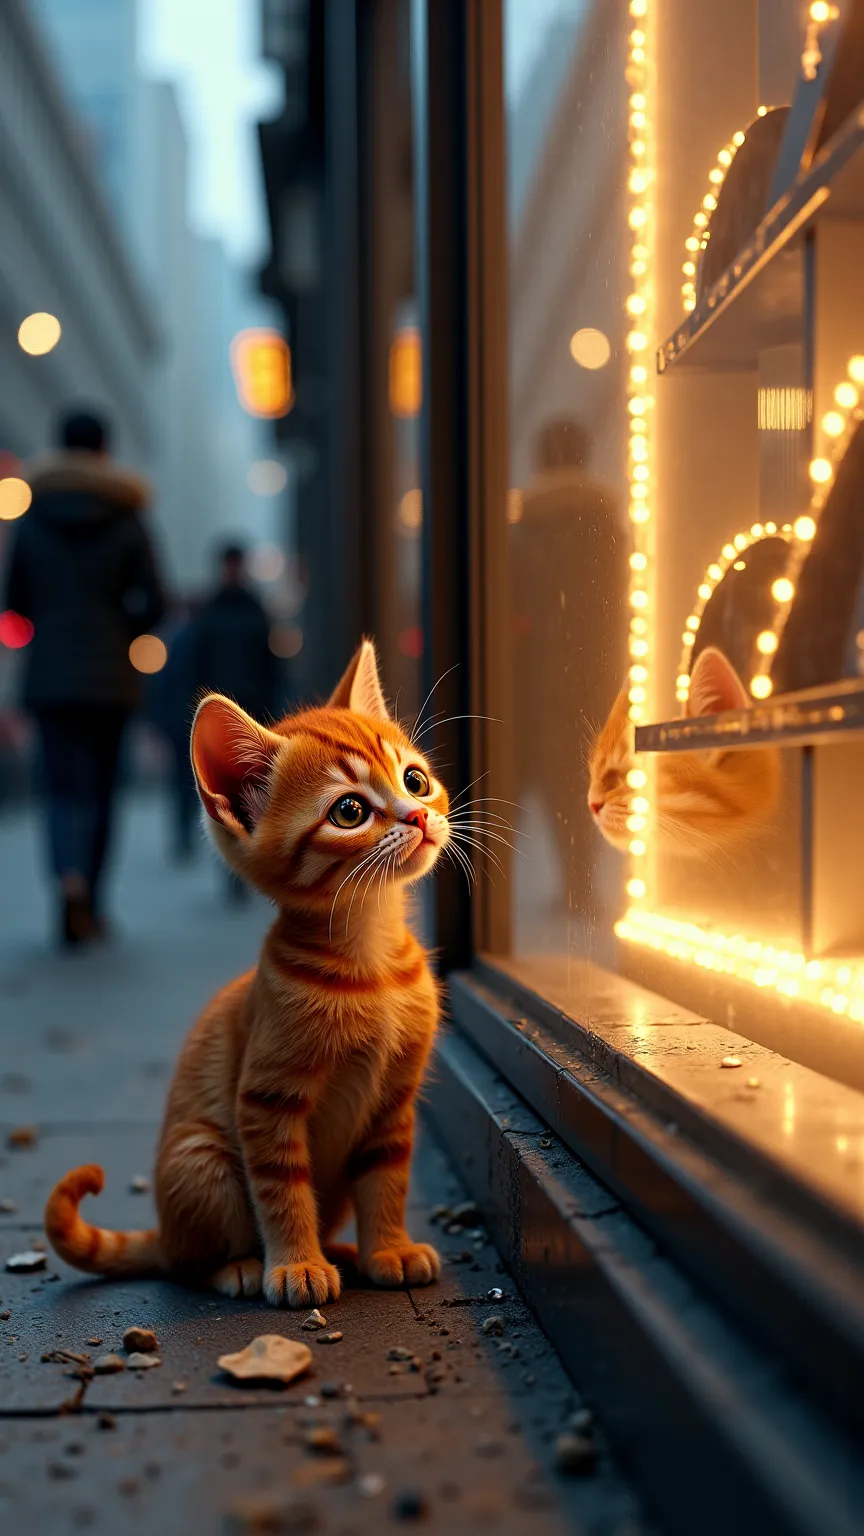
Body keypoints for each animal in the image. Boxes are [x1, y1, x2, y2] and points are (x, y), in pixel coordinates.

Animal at [45, 642, 451, 1302]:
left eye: (415, 780)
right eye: (349, 811)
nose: (418, 816)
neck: (374, 965)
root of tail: (165, 1230)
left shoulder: (396, 1098)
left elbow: (387, 1178)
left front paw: (388, 1247)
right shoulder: (266, 1100)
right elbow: (282, 1190)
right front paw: (295, 1265)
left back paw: (345, 1249)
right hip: (201, 1158)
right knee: (186, 1261)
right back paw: (240, 1266)